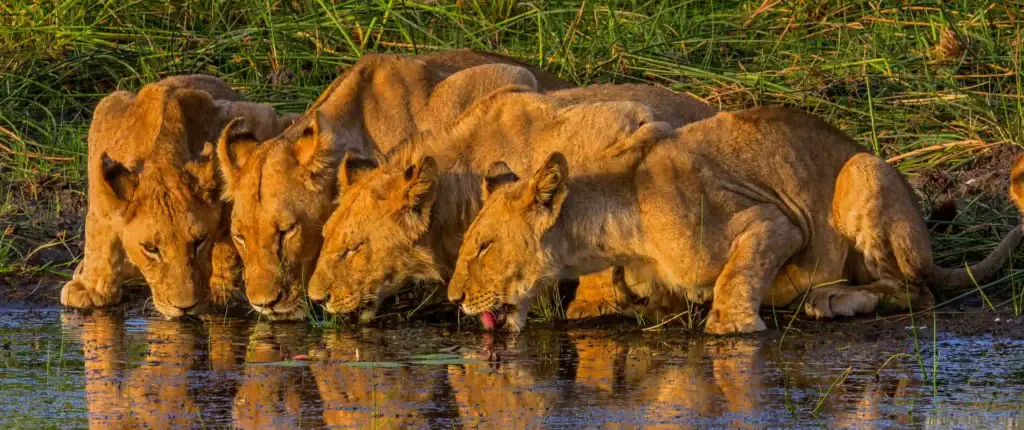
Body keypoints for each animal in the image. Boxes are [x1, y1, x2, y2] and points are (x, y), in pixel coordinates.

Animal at [60, 75, 296, 318]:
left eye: (199, 241)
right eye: (151, 249)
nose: (184, 308)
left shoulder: (256, 117)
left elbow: (229, 240)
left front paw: (221, 290)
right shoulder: (105, 119)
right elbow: (97, 231)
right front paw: (90, 288)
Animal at [449, 105, 1023, 334]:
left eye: (483, 246)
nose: (454, 298)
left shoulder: (775, 220)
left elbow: (738, 273)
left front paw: (731, 324)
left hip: (862, 170)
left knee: (915, 291)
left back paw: (831, 300)